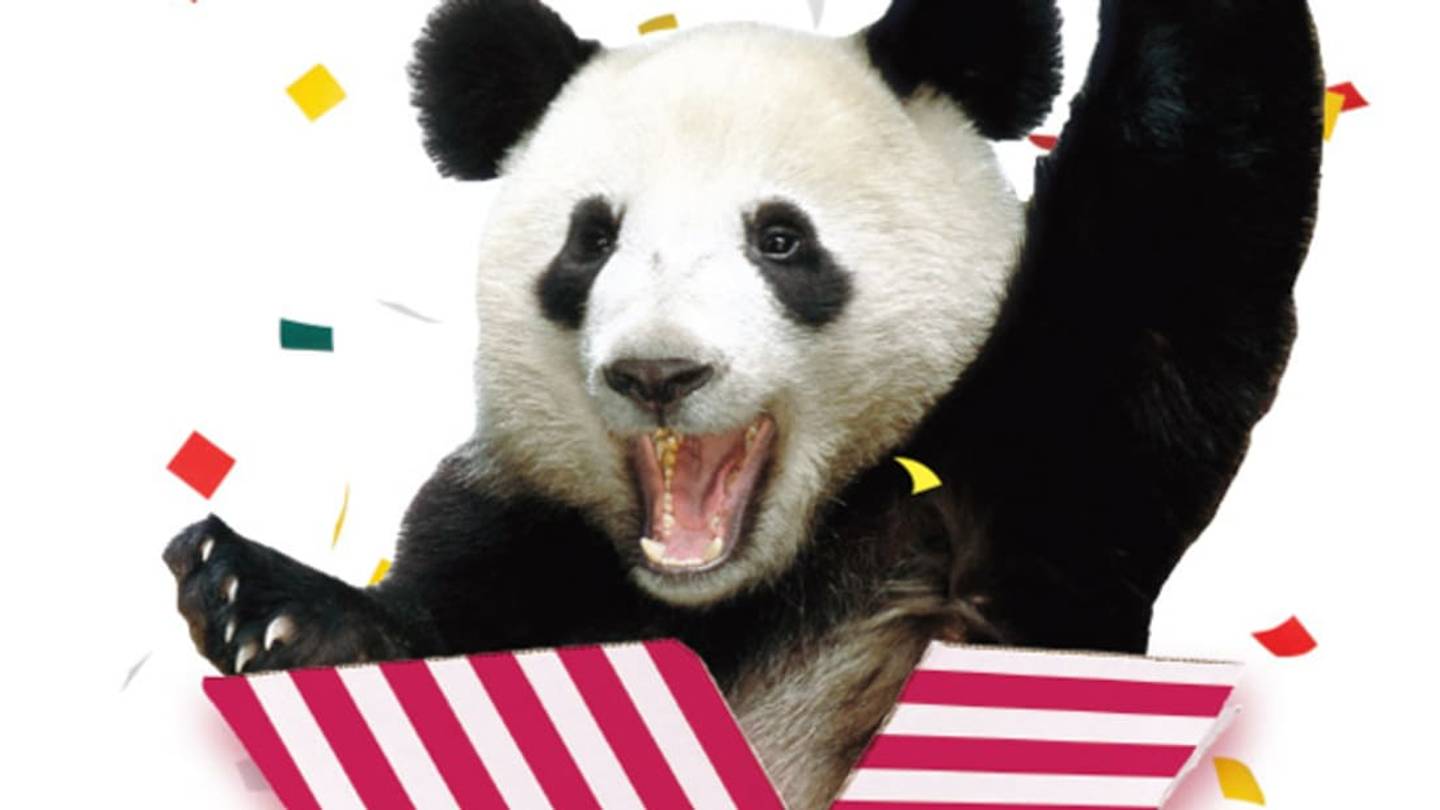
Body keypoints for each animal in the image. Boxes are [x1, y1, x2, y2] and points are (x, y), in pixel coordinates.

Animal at [163, 0, 1322, 805]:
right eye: (593, 239)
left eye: (780, 239)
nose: (658, 373)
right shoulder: (522, 527)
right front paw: (263, 598)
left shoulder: (1048, 441)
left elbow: (1181, 202)